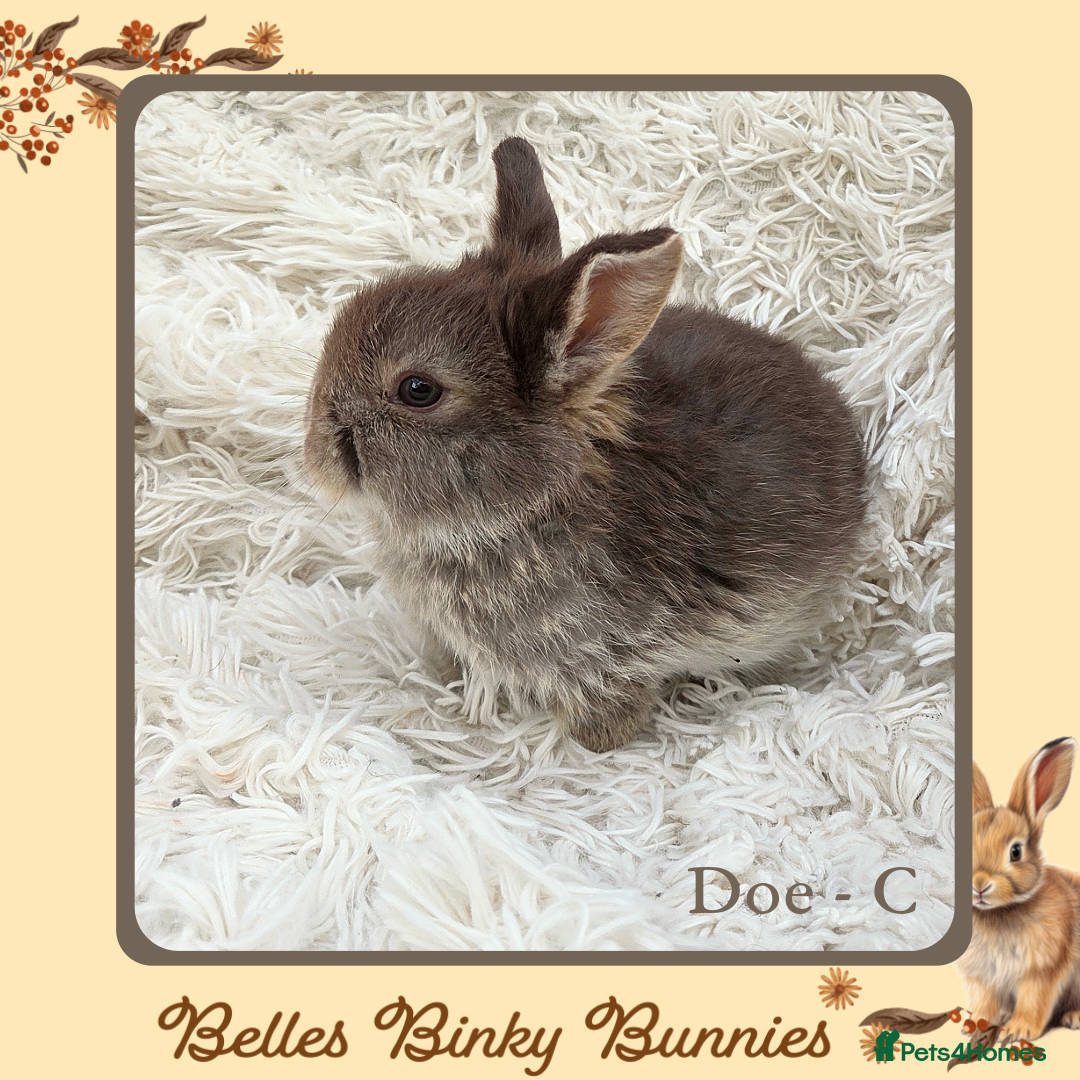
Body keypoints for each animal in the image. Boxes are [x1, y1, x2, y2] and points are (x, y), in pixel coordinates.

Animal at [956, 737, 1080, 1041]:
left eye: (1015, 851)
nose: (979, 885)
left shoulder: (1041, 971)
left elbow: (1033, 1001)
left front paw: (1016, 1032)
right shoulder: (983, 976)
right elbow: (984, 1001)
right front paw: (973, 1025)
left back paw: (1073, 1017)